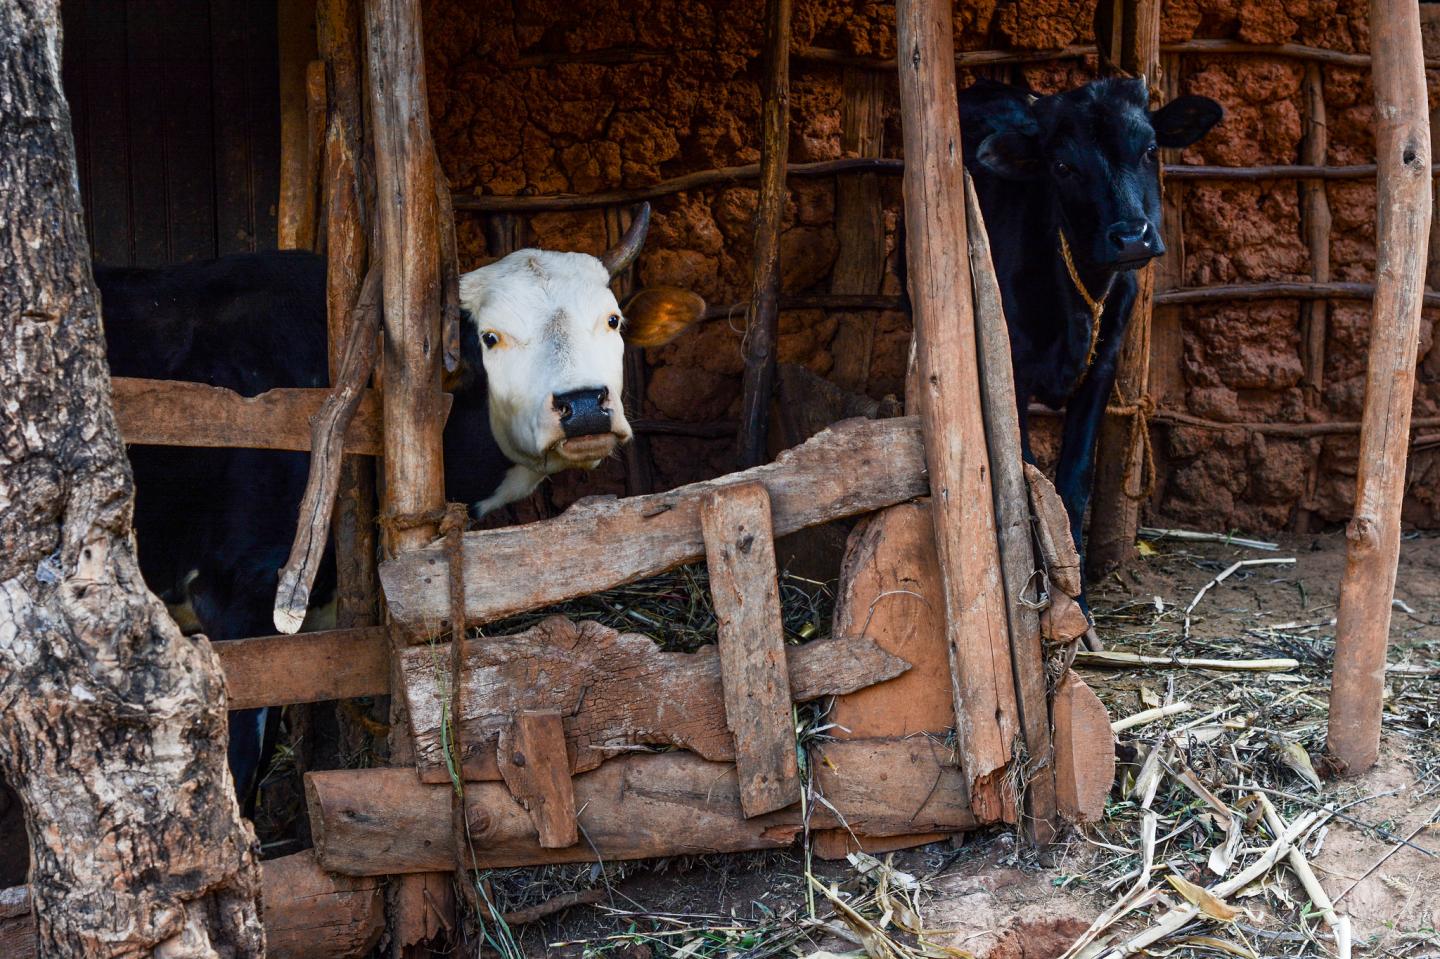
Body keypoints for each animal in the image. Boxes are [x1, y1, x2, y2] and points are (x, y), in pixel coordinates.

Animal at [961, 76, 1221, 613]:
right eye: (1063, 166)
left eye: (1149, 149)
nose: (1132, 237)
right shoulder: (1012, 373)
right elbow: (1027, 481)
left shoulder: (1103, 369)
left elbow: (1073, 483)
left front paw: (1076, 599)